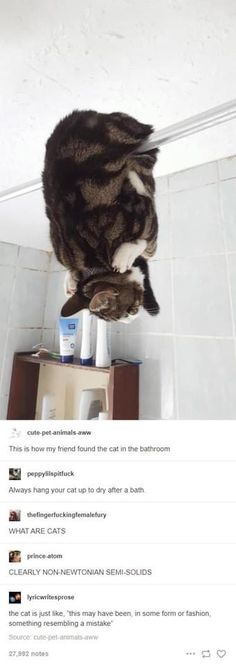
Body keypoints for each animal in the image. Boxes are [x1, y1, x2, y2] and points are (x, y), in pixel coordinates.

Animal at [42, 109, 160, 322]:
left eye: (130, 310)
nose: (130, 320)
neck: (93, 266)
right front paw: (70, 279)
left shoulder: (145, 217)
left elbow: (148, 246)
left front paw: (125, 254)